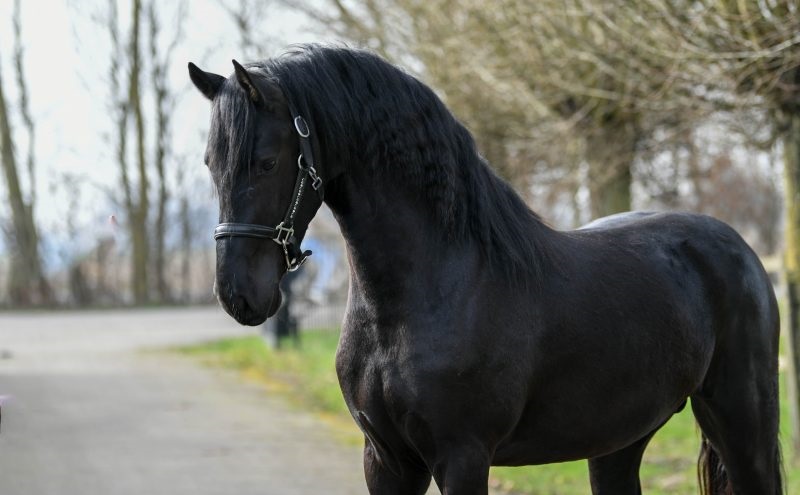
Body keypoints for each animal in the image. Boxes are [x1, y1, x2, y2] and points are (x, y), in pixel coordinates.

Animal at [188, 45, 782, 494]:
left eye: (267, 162)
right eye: (211, 163)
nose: (239, 294)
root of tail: (739, 249)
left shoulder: (463, 459)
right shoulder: (385, 460)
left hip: (743, 425)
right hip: (618, 441)